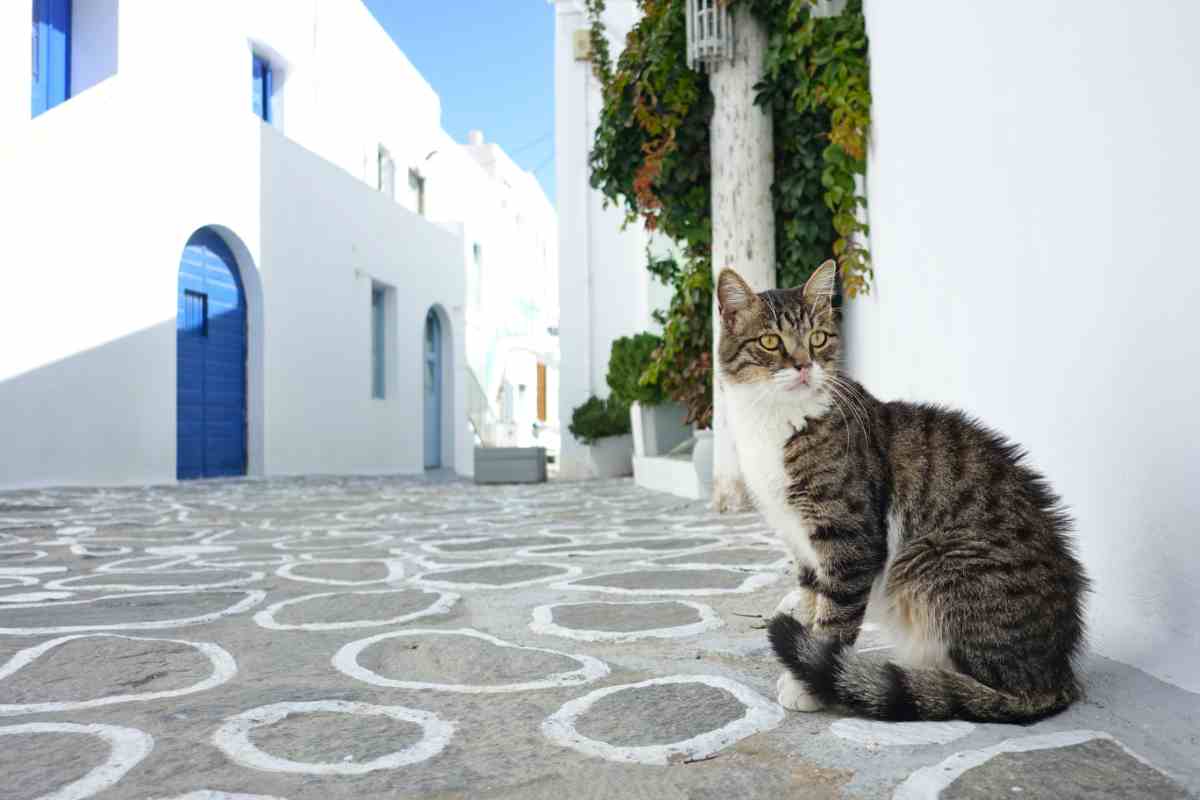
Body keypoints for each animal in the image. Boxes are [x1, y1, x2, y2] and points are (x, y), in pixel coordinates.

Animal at [715, 262, 1094, 724]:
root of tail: (1057, 675)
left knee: (980, 686)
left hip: (931, 563)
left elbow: (834, 617)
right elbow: (810, 602)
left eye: (817, 338)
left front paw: (809, 682)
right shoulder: (800, 544)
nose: (804, 366)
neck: (773, 423)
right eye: (770, 341)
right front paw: (805, 662)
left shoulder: (849, 541)